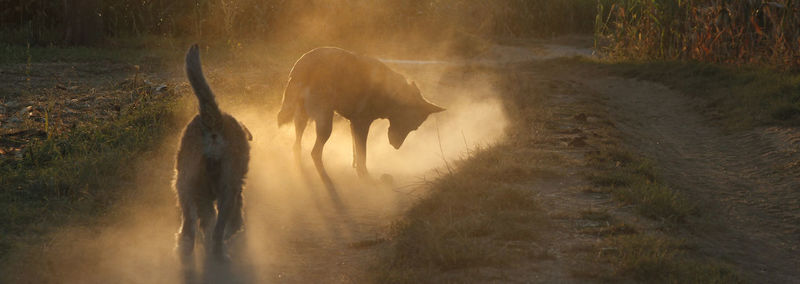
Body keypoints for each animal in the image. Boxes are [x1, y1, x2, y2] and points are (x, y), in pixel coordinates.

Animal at [174, 43, 250, 262]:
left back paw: (186, 247)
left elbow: (206, 218)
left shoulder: (203, 195)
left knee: (189, 224)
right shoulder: (233, 190)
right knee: (219, 226)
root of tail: (214, 120)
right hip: (228, 188)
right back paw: (218, 250)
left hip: (184, 182)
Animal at [276, 46, 444, 189]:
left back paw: (299, 167)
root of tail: (302, 65)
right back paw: (326, 180)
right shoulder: (361, 125)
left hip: (303, 119)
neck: (391, 95)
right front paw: (367, 179)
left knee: (297, 146)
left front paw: (357, 170)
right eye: (412, 126)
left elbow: (356, 155)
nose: (396, 147)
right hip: (325, 125)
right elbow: (363, 156)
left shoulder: (354, 125)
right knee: (314, 153)